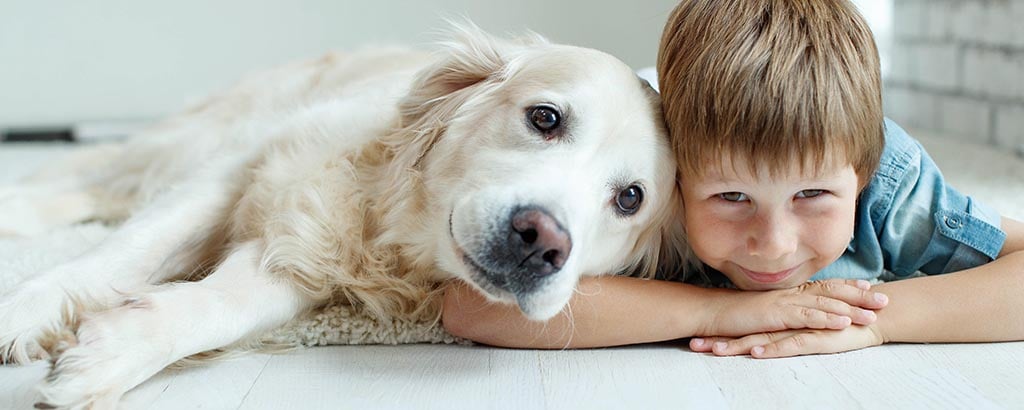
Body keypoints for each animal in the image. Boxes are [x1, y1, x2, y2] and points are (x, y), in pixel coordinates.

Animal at [2, 24, 688, 407]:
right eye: (544, 117)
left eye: (630, 198)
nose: (540, 242)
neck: (392, 226)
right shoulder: (240, 171)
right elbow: (118, 255)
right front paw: (21, 312)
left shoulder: (297, 256)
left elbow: (219, 308)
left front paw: (110, 352)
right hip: (197, 137)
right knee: (91, 177)